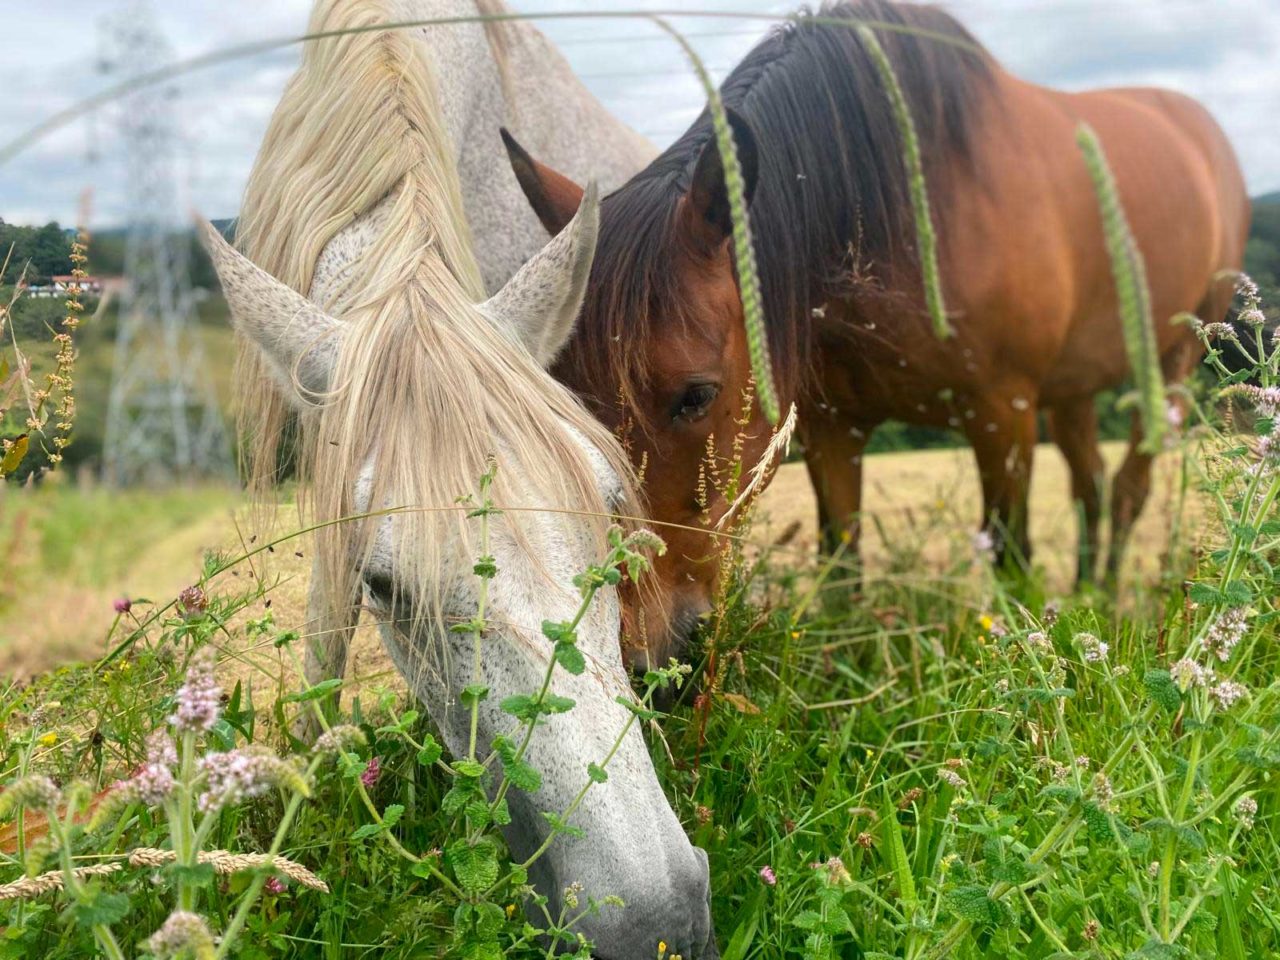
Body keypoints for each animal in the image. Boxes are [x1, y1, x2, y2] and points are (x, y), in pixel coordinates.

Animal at [504, 0, 1250, 666]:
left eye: (695, 395)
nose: (641, 656)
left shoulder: (1003, 414)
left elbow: (1009, 553)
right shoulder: (836, 428)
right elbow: (842, 564)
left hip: (1172, 364)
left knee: (1126, 488)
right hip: (1074, 388)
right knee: (1090, 480)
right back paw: (1090, 591)